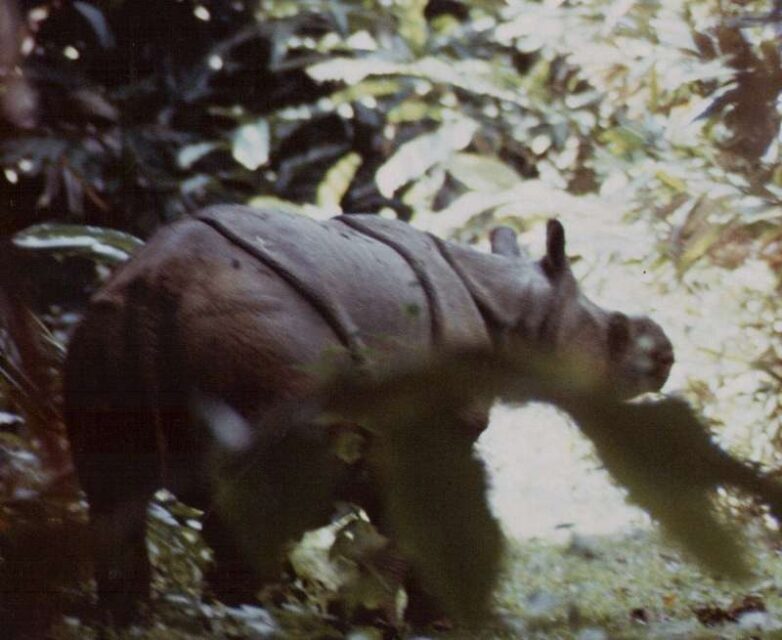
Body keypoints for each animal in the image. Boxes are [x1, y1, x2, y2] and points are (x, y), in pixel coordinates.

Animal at [63, 205, 674, 622]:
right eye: (616, 333)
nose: (666, 355)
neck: (515, 311)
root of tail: (156, 290)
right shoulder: (434, 429)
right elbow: (418, 531)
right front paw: (417, 624)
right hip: (259, 344)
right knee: (251, 512)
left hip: (101, 329)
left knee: (112, 501)